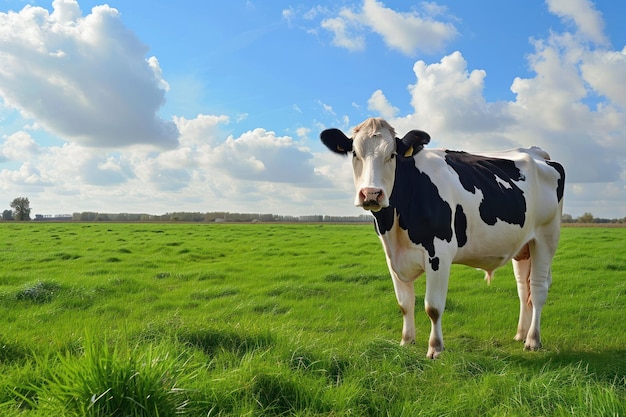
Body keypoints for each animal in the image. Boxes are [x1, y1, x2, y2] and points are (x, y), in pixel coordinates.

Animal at [320, 116, 564, 358]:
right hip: (524, 246)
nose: (371, 193)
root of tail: (535, 152)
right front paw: (406, 341)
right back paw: (520, 334)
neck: (394, 223)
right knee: (524, 289)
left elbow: (433, 307)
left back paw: (532, 340)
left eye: (392, 155)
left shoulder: (439, 254)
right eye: (355, 153)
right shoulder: (392, 256)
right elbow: (405, 303)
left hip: (546, 237)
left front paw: (435, 348)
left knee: (538, 289)